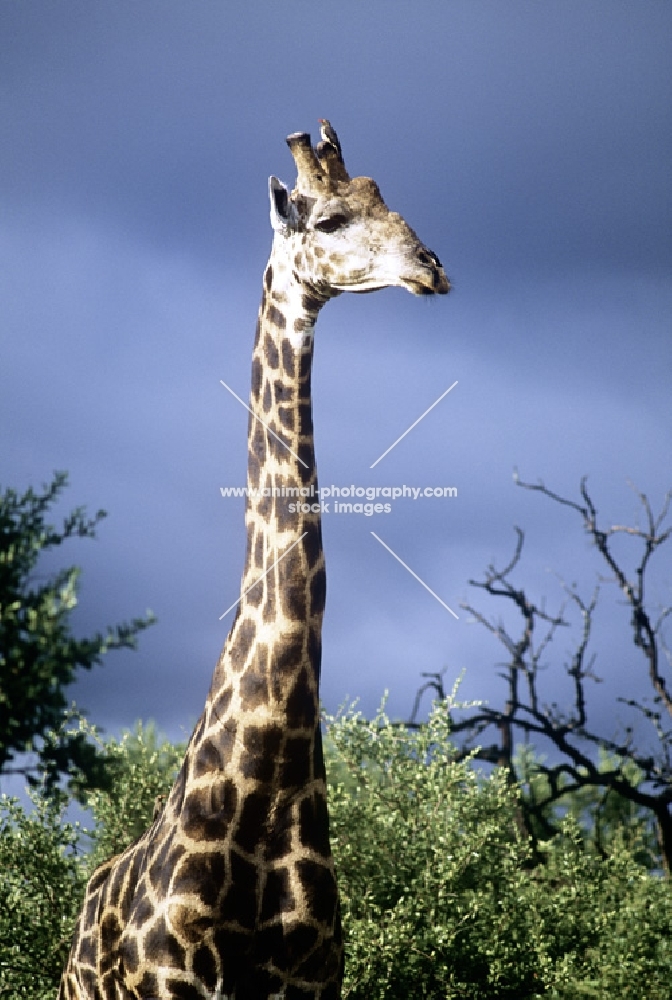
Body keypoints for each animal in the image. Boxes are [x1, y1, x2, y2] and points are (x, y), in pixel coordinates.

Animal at [60, 125, 448, 1000]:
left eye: (391, 201)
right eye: (330, 219)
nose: (431, 266)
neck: (267, 780)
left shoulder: (311, 980)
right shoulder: (175, 982)